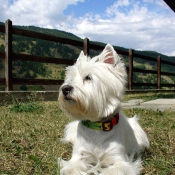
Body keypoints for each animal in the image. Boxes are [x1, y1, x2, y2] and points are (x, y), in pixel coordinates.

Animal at [58, 44, 148, 175]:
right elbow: (73, 168)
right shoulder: (78, 156)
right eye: (70, 79)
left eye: (88, 77)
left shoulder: (119, 159)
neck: (97, 126)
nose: (65, 88)